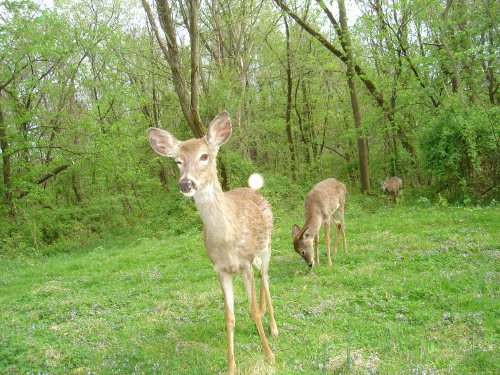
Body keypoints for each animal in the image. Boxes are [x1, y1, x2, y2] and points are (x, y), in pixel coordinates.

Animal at [146, 111, 280, 375]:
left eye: (204, 156)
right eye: (177, 161)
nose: (185, 184)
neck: (227, 242)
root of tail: (255, 190)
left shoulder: (244, 264)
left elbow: (251, 311)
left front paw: (269, 355)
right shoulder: (220, 269)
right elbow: (229, 317)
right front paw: (231, 367)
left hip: (267, 244)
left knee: (266, 277)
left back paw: (273, 327)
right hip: (255, 255)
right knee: (263, 273)